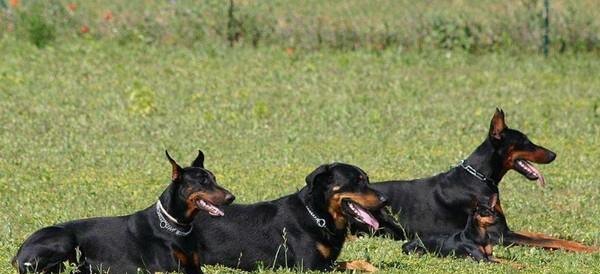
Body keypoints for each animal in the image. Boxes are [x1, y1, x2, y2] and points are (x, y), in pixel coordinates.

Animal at [12, 151, 234, 272]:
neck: (174, 225)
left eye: (214, 178)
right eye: (203, 181)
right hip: (64, 239)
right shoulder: (167, 269)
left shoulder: (194, 266)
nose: (232, 197)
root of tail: (19, 253)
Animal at [195, 162, 386, 270]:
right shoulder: (311, 266)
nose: (385, 200)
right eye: (357, 181)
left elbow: (360, 262)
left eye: (366, 179)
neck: (317, 215)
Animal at [364, 108, 596, 253]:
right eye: (525, 142)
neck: (479, 177)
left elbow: (548, 236)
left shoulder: (504, 229)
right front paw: (591, 249)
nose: (553, 155)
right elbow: (550, 240)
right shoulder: (499, 235)